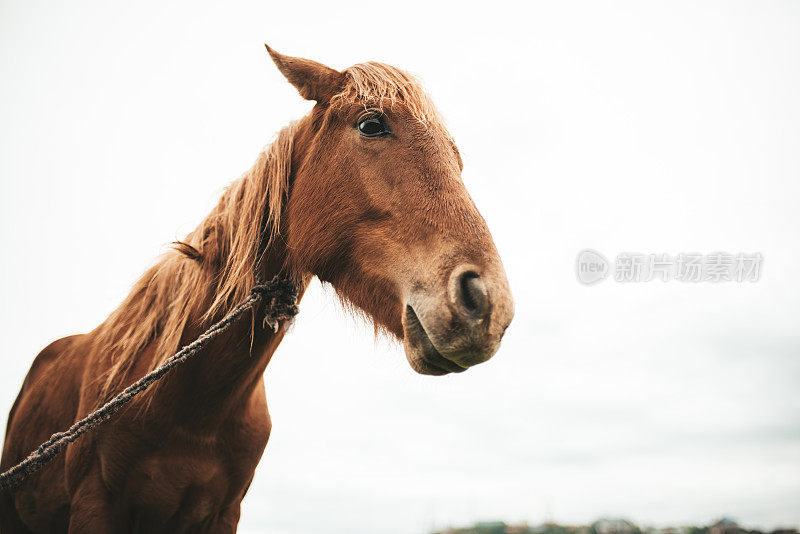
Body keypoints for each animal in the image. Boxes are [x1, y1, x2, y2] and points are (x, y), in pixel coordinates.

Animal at [0, 48, 512, 532]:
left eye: (457, 156)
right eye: (372, 124)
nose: (488, 304)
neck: (191, 407)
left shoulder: (224, 515)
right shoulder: (96, 506)